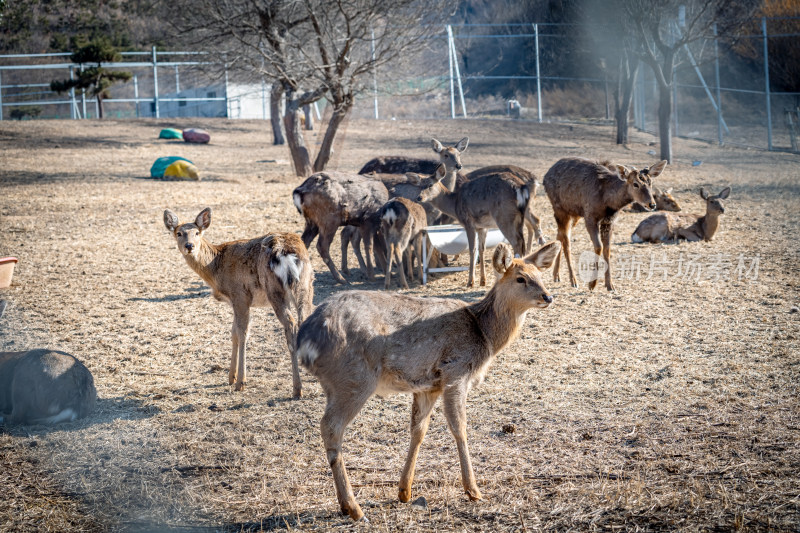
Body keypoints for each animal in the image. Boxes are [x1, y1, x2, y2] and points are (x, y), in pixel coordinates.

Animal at [162, 207, 312, 394]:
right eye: (179, 233)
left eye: (197, 232)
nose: (189, 246)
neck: (216, 269)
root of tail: (288, 253)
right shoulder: (235, 301)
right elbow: (233, 332)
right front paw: (230, 377)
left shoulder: (240, 295)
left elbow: (242, 333)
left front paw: (241, 381)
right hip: (306, 284)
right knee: (304, 318)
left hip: (274, 290)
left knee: (291, 324)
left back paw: (297, 388)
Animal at [296, 240, 564, 520]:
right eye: (521, 278)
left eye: (540, 275)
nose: (548, 296)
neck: (483, 333)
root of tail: (305, 340)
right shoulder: (455, 371)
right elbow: (459, 427)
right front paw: (473, 490)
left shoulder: (428, 386)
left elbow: (418, 430)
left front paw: (404, 491)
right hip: (354, 378)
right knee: (331, 426)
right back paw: (354, 507)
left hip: (336, 383)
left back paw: (345, 504)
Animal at [540, 157, 664, 290]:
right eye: (635, 184)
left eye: (650, 182)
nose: (652, 204)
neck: (608, 202)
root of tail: (545, 176)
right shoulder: (590, 217)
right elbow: (598, 246)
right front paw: (592, 284)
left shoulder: (609, 221)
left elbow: (607, 248)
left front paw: (610, 285)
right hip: (559, 209)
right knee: (566, 241)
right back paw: (573, 280)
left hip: (573, 214)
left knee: (560, 235)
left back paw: (556, 276)